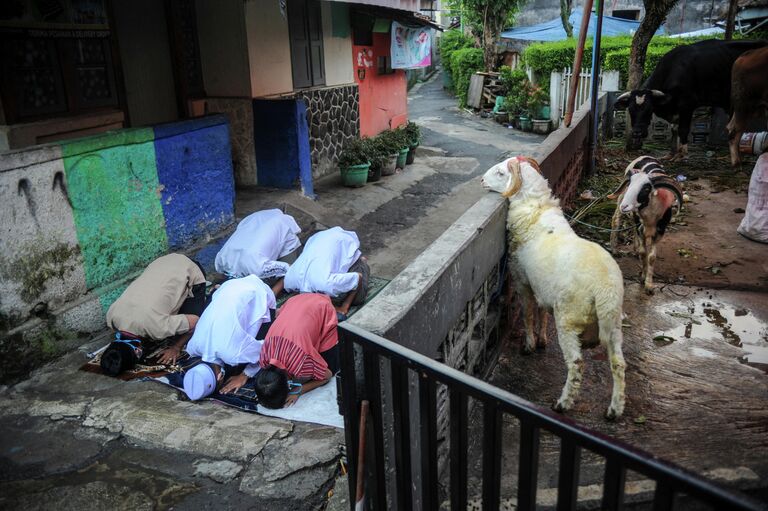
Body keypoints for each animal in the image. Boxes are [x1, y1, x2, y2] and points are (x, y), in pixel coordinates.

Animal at [484, 157, 628, 420]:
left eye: (500, 173)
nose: (480, 180)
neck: (536, 210)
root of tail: (603, 289)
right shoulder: (542, 286)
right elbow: (541, 312)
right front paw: (542, 339)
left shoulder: (522, 280)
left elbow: (528, 314)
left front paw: (530, 344)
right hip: (613, 324)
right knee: (618, 363)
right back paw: (614, 409)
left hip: (569, 318)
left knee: (576, 363)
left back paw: (563, 403)